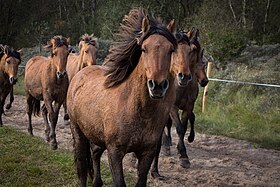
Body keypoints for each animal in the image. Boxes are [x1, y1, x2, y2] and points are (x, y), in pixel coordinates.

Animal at [67, 8, 177, 187]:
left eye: (171, 50)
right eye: (144, 49)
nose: (158, 86)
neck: (136, 109)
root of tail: (80, 75)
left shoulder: (147, 153)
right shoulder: (115, 152)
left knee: (95, 153)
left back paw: (97, 182)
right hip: (78, 132)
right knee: (82, 167)